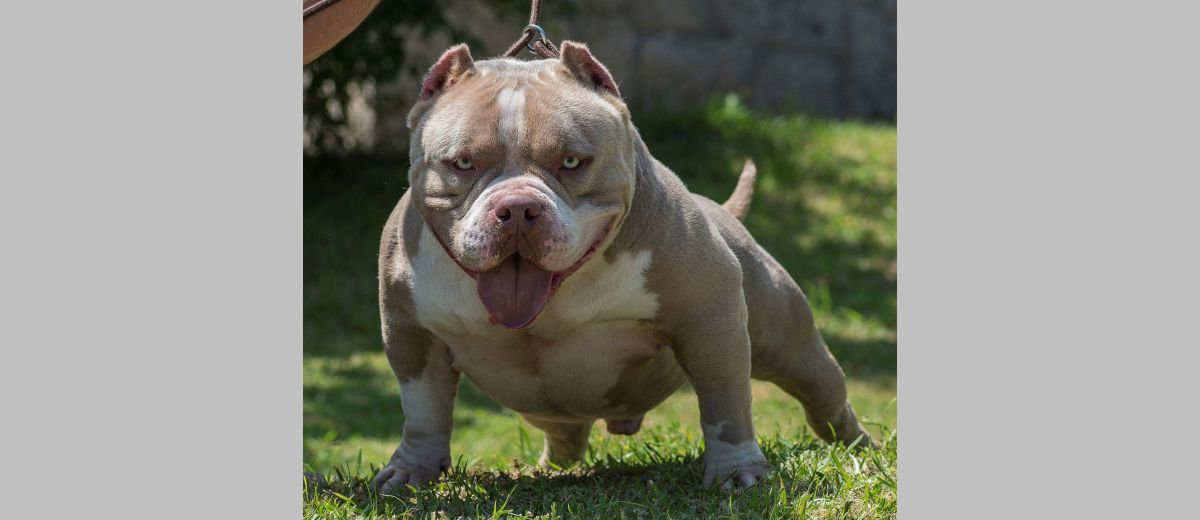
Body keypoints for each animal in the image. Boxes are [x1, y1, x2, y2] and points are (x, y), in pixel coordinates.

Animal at [369, 41, 868, 489]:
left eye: (572, 161)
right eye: (462, 163)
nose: (517, 209)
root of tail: (723, 210)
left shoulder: (709, 322)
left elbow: (725, 404)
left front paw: (737, 470)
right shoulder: (412, 336)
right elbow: (423, 410)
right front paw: (411, 471)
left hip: (791, 348)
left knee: (825, 398)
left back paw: (861, 448)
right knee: (565, 435)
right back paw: (546, 468)